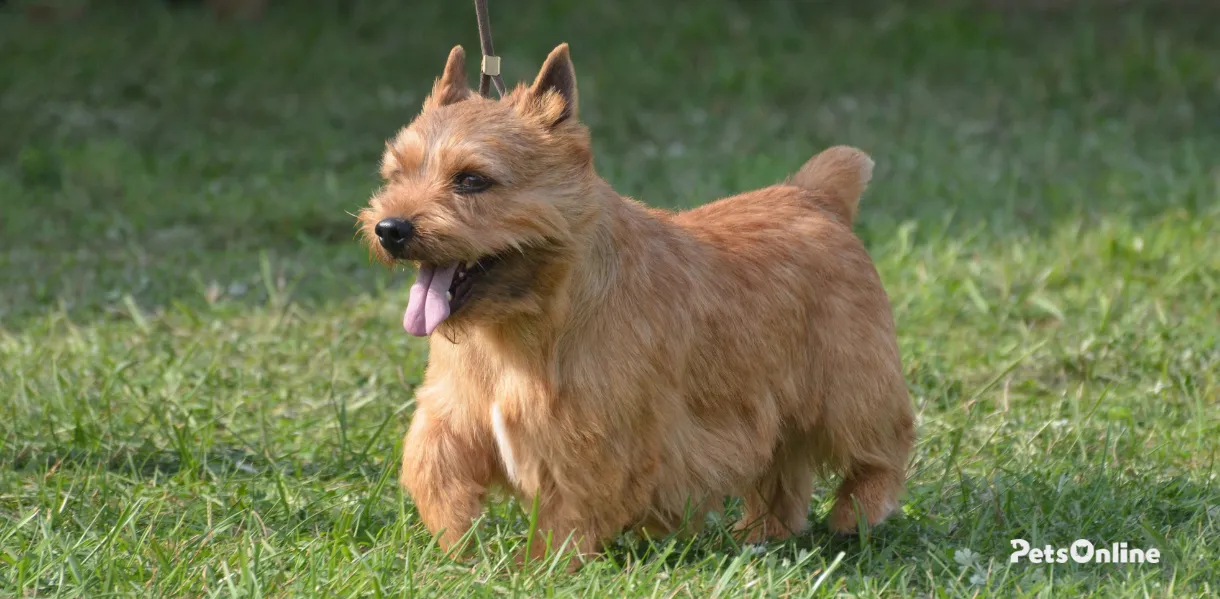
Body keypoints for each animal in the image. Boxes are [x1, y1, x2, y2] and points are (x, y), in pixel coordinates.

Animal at [361, 44, 917, 570]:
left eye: (472, 180)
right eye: (396, 173)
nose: (390, 229)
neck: (519, 325)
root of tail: (814, 196)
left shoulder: (588, 435)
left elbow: (569, 504)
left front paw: (540, 566)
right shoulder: (454, 411)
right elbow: (432, 467)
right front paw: (461, 543)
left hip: (850, 386)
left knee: (885, 442)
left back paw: (858, 512)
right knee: (784, 474)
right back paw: (762, 534)